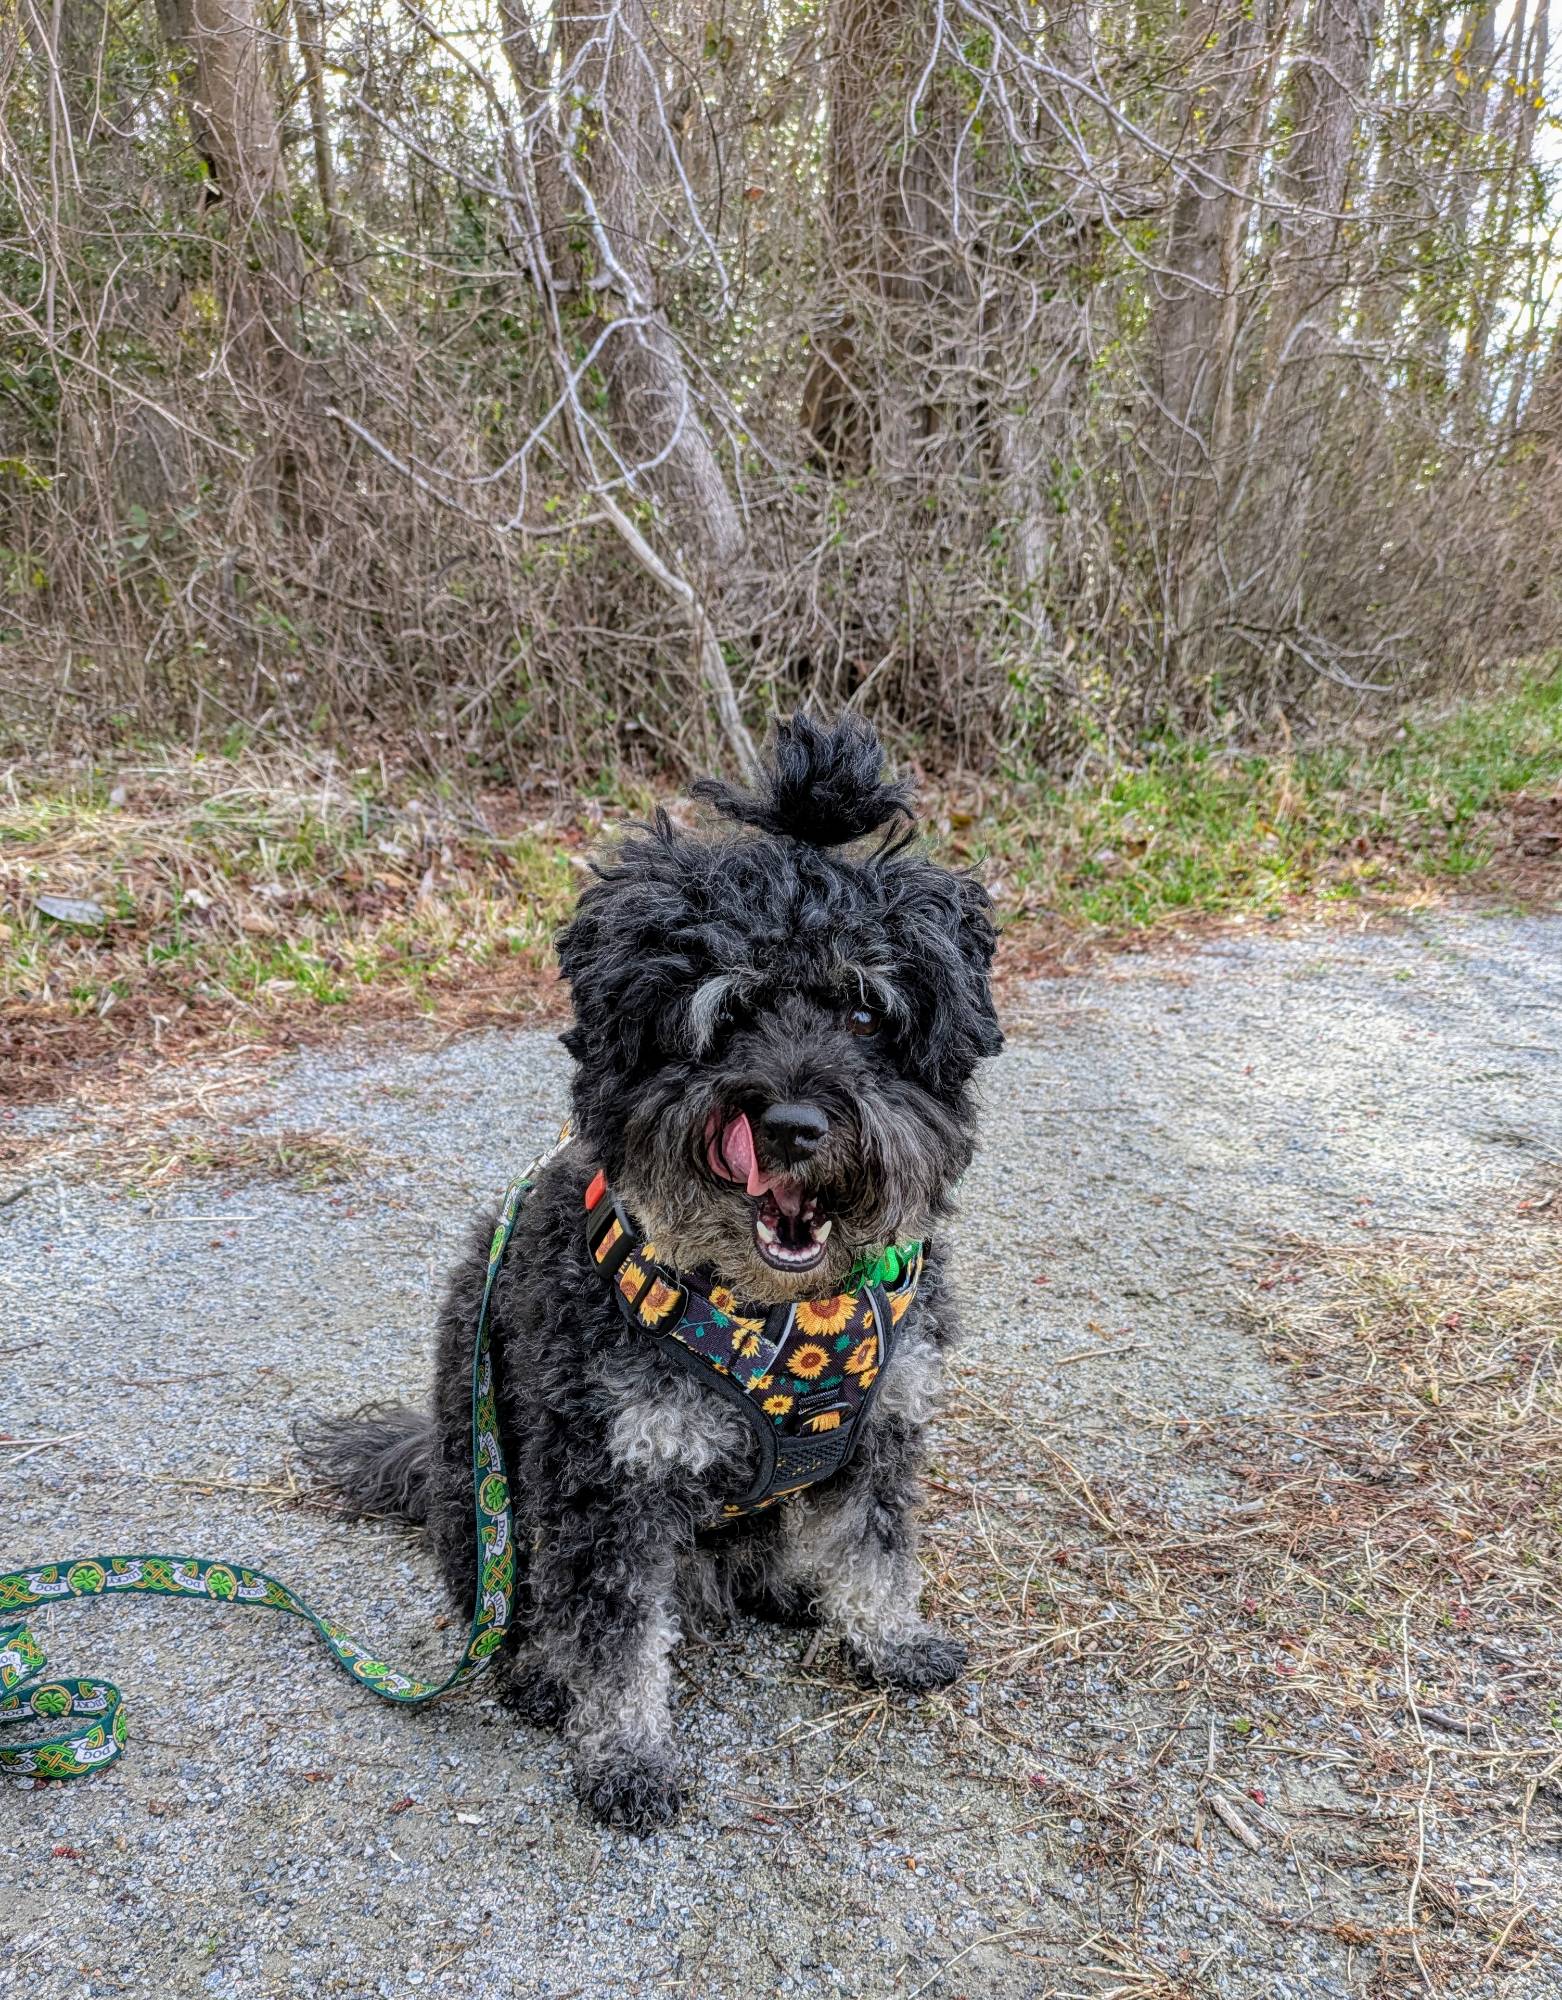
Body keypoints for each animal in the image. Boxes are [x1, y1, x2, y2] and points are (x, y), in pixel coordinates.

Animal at [301, 713, 1002, 1832]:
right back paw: (540, 1673)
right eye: (724, 1015)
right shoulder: (609, 1481)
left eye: (864, 1014)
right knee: (522, 1610)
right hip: (492, 1506)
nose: (792, 1125)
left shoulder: (883, 1429)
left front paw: (887, 1639)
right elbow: (618, 1635)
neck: (772, 1312)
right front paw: (625, 1753)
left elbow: (877, 1546)